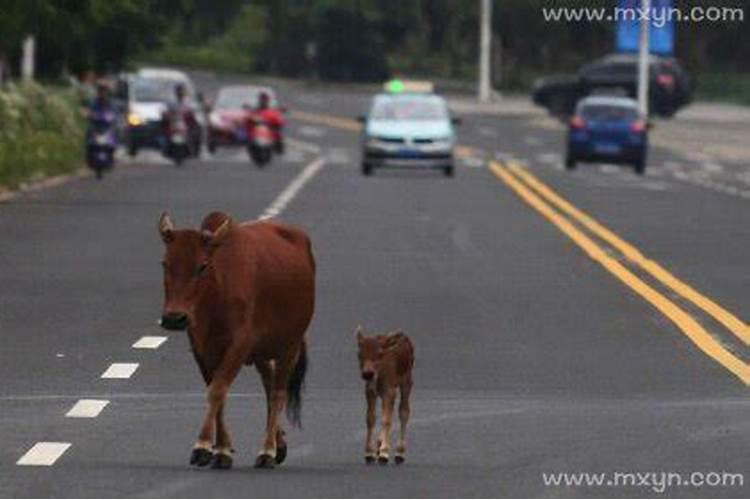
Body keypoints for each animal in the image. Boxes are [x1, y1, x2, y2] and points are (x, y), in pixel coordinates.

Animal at [160, 210, 316, 468]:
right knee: (269, 384)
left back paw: (267, 451)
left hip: (289, 346)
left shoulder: (240, 344)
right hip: (262, 353)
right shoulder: (202, 348)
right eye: (165, 264)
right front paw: (222, 450)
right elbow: (218, 392)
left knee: (278, 393)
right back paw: (279, 444)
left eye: (202, 266)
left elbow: (217, 390)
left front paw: (202, 446)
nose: (174, 318)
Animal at [356, 324, 414, 464]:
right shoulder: (370, 390)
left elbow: (387, 419)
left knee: (404, 411)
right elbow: (370, 418)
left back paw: (399, 452)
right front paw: (369, 452)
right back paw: (379, 444)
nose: (367, 373)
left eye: (380, 353)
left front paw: (384, 453)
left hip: (407, 382)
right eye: (359, 354)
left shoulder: (390, 391)